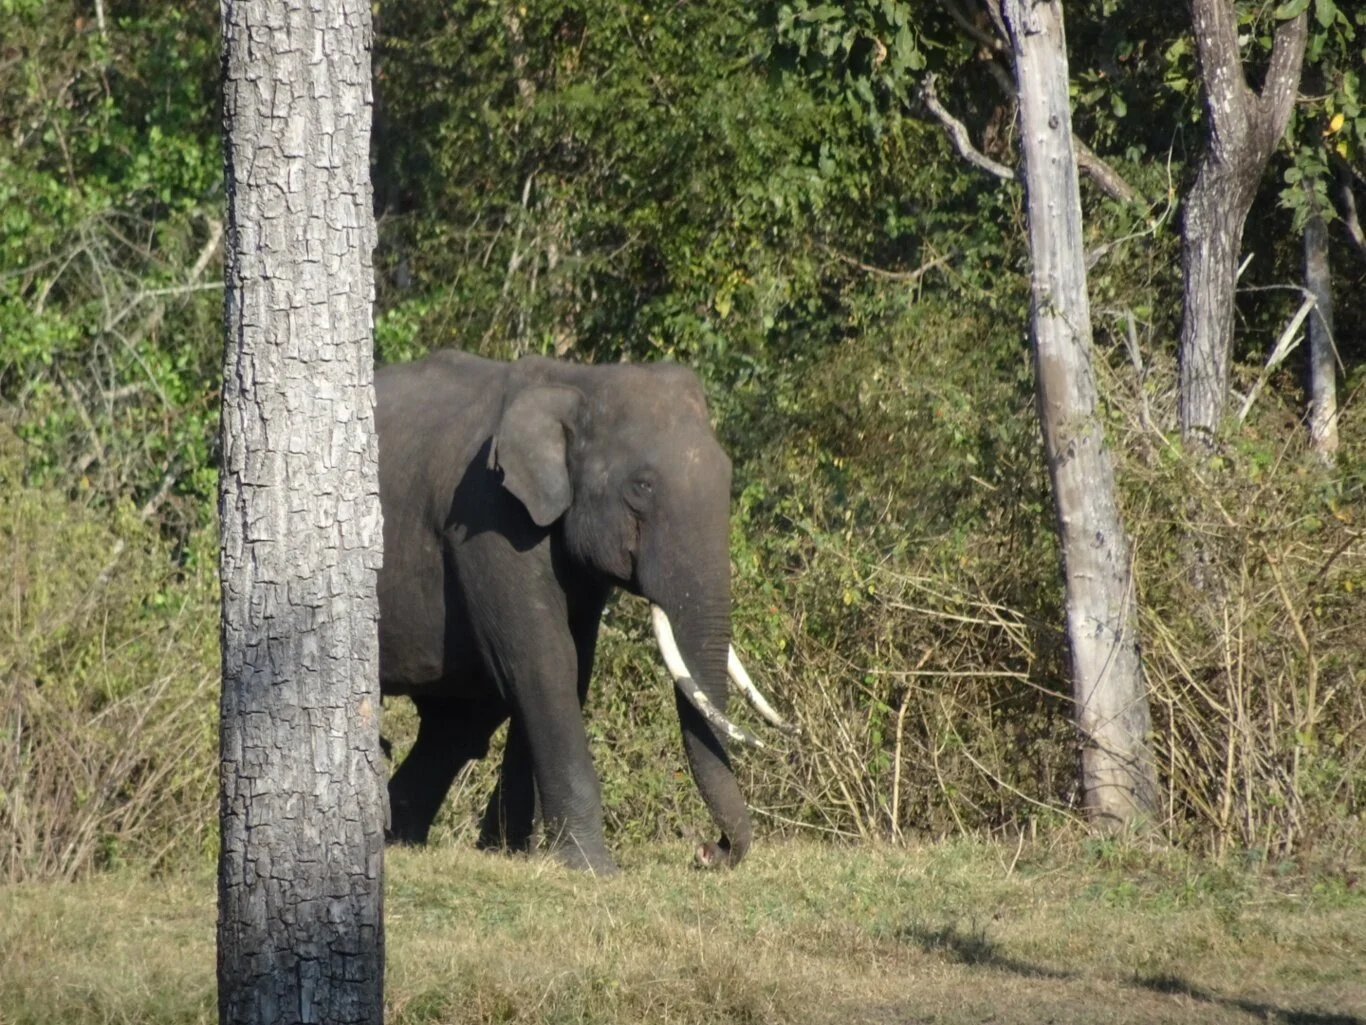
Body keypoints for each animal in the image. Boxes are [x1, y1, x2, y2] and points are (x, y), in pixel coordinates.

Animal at [374, 350, 790, 874]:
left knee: (459, 722)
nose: (706, 851)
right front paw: (590, 868)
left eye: (729, 475)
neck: (578, 380)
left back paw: (404, 838)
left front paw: (519, 856)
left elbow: (573, 667)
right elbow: (544, 661)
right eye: (642, 486)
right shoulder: (486, 518)